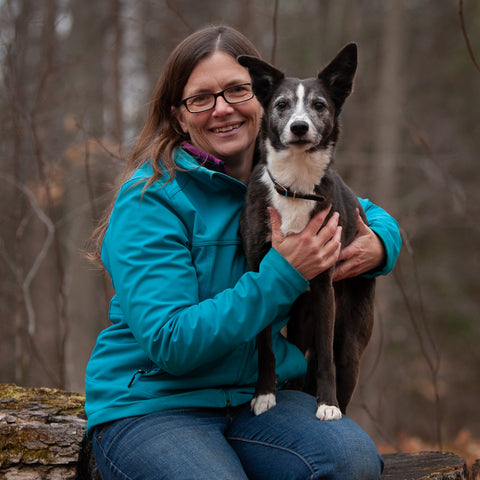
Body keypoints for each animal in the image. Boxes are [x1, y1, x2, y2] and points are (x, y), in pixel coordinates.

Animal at [238, 44, 376, 420]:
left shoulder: (324, 287)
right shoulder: (259, 273)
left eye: (319, 105)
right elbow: (265, 346)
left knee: (336, 357)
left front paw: (326, 404)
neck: (296, 186)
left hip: (349, 343)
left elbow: (324, 357)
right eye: (281, 104)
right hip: (301, 319)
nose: (299, 127)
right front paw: (264, 394)